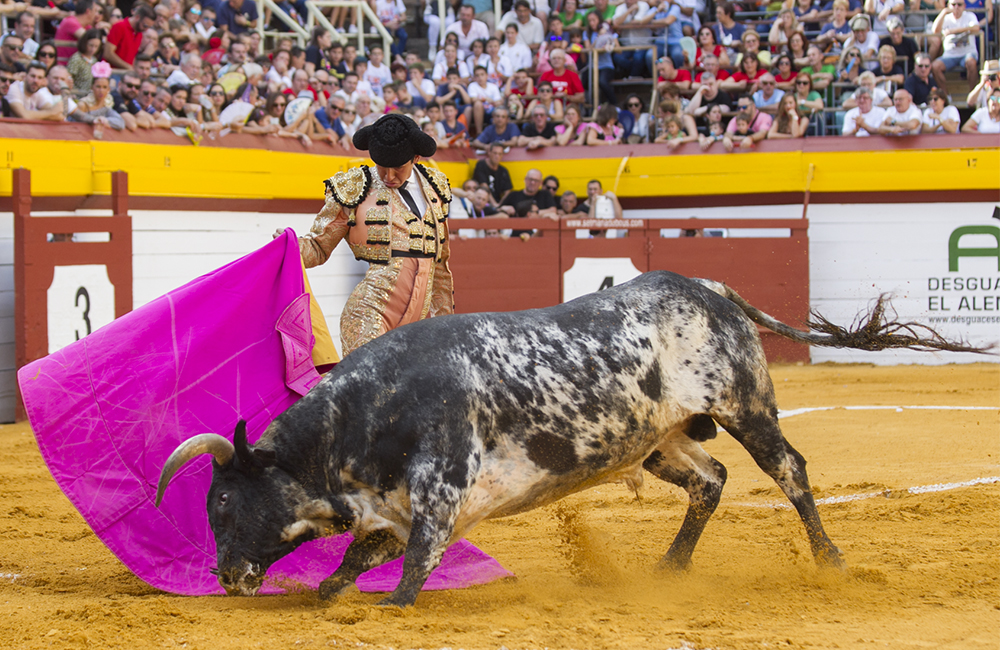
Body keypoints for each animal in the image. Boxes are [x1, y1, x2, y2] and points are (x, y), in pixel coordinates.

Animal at [156, 270, 984, 604]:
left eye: (223, 503)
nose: (225, 576)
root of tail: (706, 288)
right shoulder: (392, 508)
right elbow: (352, 564)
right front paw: (326, 597)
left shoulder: (440, 492)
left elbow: (413, 566)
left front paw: (389, 608)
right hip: (659, 439)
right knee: (712, 480)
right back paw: (669, 569)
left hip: (746, 406)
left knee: (791, 471)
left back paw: (831, 560)